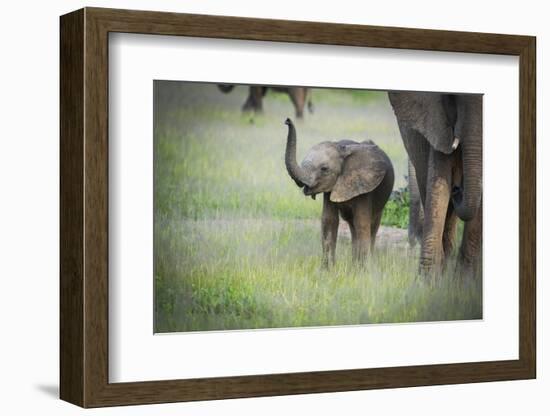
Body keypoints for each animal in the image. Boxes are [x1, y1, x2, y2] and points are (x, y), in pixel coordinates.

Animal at [284, 118, 396, 266]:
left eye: (324, 169)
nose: (287, 121)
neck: (341, 149)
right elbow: (329, 221)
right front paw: (327, 269)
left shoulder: (365, 187)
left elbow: (362, 223)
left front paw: (362, 270)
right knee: (352, 225)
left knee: (372, 224)